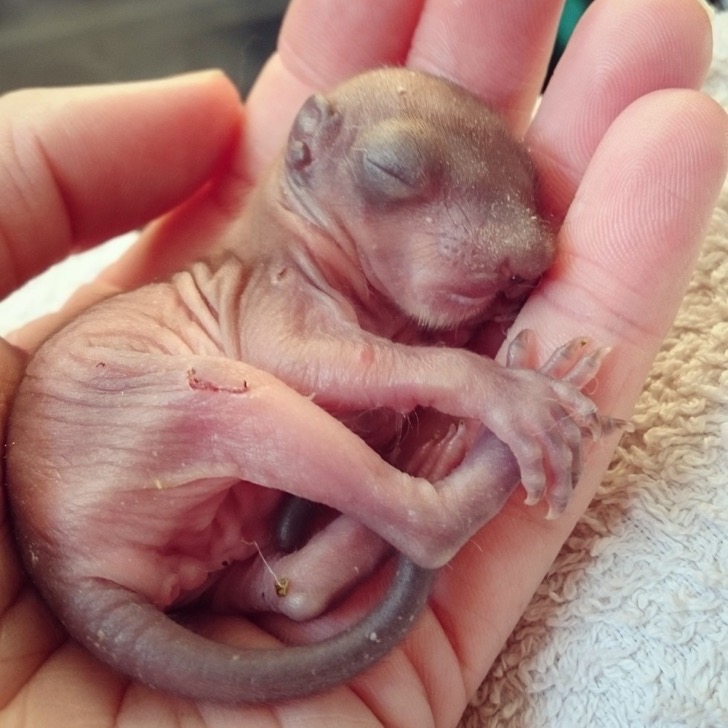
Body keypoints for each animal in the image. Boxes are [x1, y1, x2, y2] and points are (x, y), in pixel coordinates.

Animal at [4, 69, 616, 704]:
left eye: (530, 178)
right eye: (391, 169)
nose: (530, 262)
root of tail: (60, 570)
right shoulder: (269, 291)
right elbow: (303, 356)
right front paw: (507, 393)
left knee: (295, 589)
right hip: (172, 411)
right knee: (420, 525)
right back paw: (481, 450)